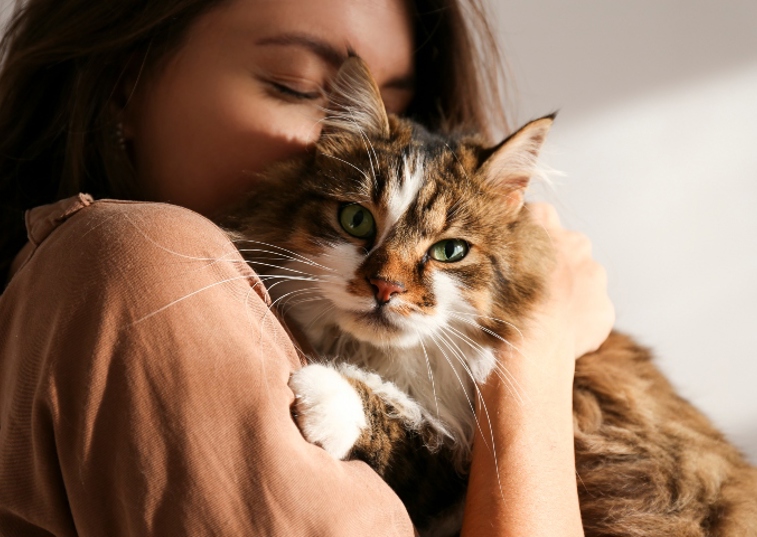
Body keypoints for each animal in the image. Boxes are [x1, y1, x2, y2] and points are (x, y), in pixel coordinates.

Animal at [221, 58, 756, 536]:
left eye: (450, 251)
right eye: (356, 220)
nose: (386, 287)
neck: (392, 361)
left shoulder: (457, 461)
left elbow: (409, 430)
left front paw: (328, 395)